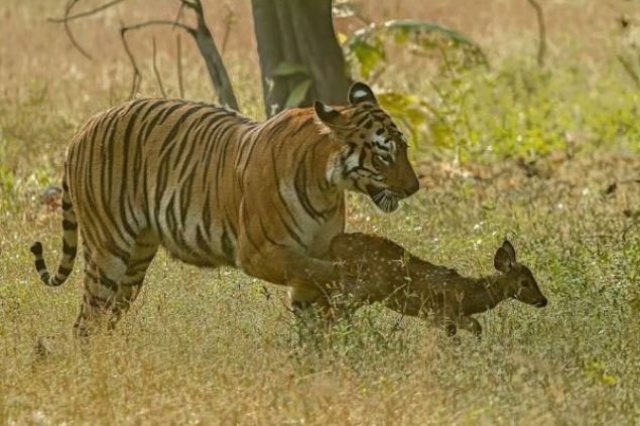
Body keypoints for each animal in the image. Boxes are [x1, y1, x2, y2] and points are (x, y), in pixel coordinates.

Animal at [28, 82, 420, 336]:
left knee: (105, 318)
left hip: (134, 263)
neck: (326, 185)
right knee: (86, 321)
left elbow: (312, 311)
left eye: (404, 148)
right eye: (384, 155)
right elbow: (315, 270)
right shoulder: (259, 253)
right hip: (108, 250)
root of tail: (81, 130)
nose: (414, 188)